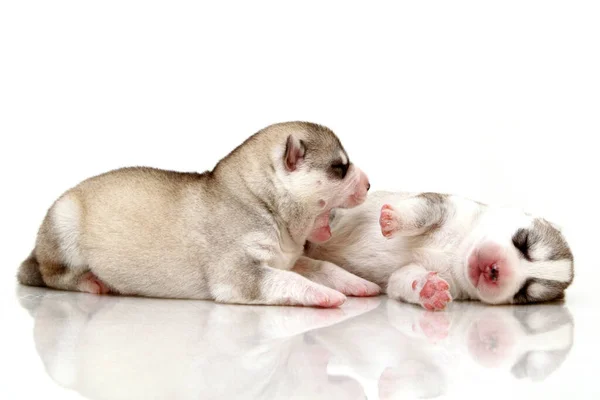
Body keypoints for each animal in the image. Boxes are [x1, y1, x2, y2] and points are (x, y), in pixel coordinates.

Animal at [18, 122, 378, 306]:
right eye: (339, 169)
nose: (369, 183)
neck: (262, 202)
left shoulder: (288, 259)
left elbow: (321, 266)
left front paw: (356, 283)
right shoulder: (239, 274)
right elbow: (290, 280)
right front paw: (325, 295)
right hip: (64, 224)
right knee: (53, 275)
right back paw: (91, 282)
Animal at [308, 191, 576, 310]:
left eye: (523, 293)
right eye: (524, 242)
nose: (494, 270)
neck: (457, 252)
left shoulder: (412, 276)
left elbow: (403, 279)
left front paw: (430, 290)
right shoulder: (445, 205)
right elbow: (422, 211)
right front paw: (393, 220)